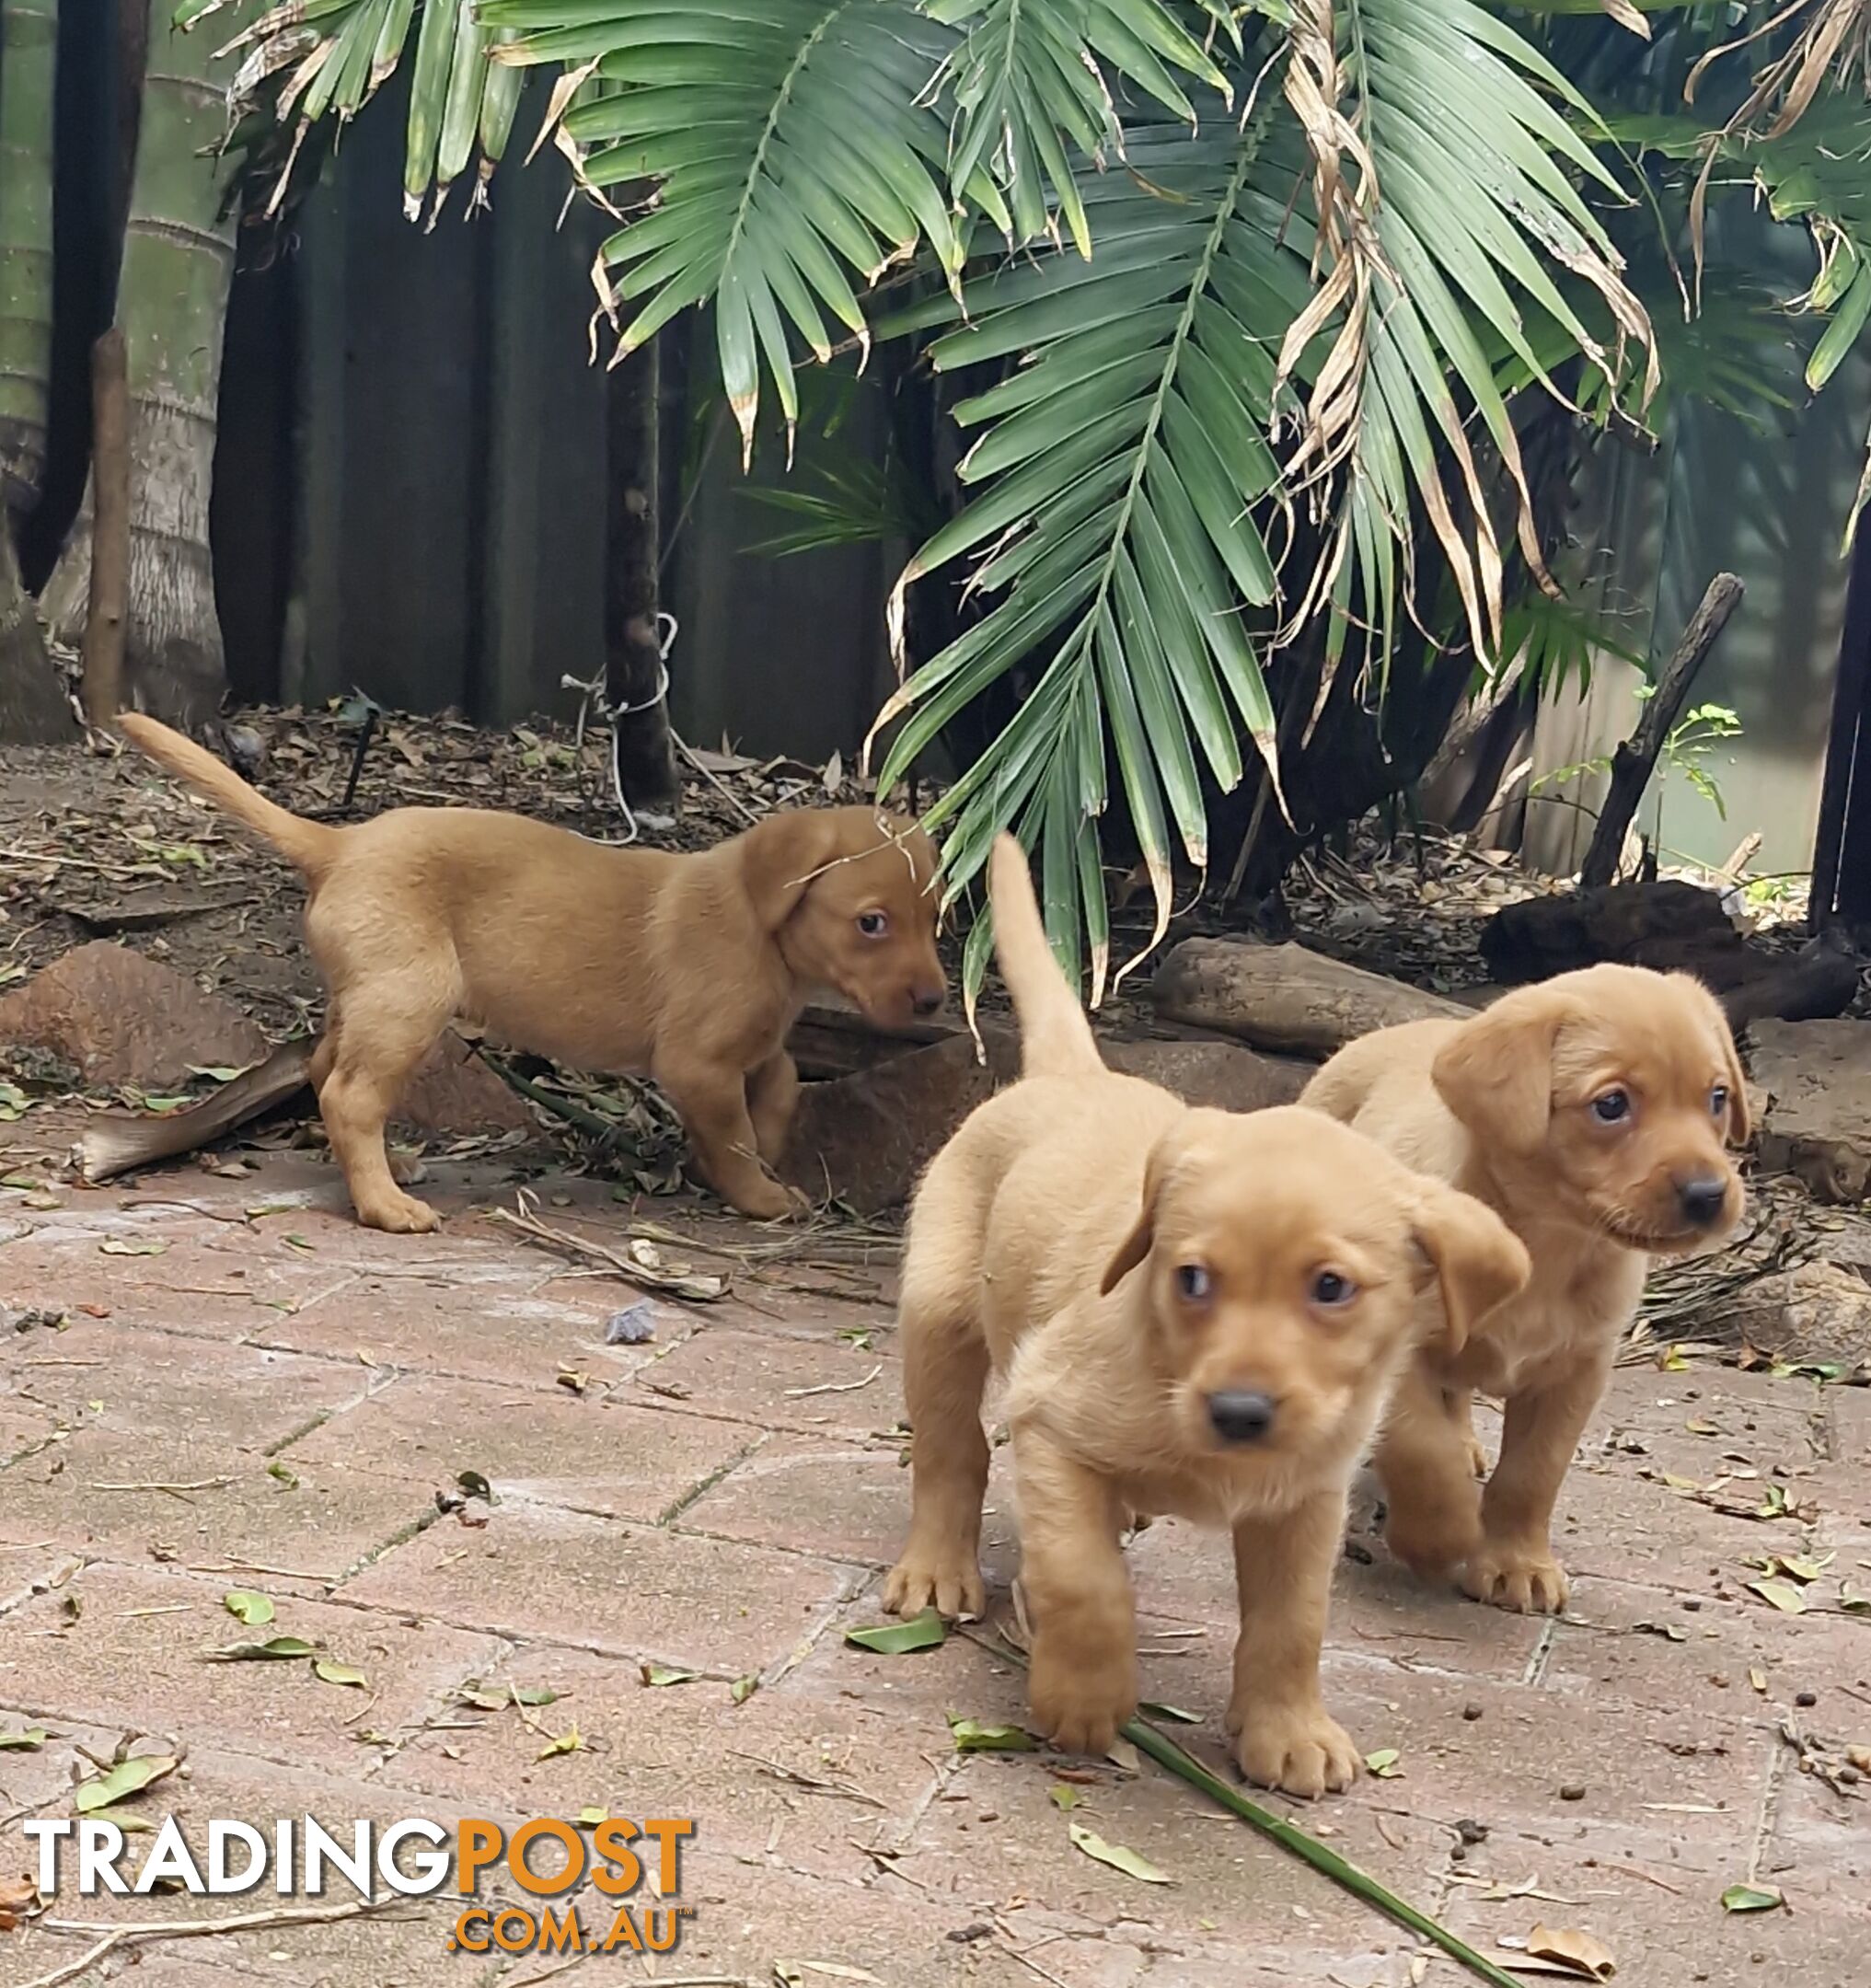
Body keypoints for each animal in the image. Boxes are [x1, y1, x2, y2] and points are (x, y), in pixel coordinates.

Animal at [113, 715, 950, 1232]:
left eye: (935, 918)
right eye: (871, 923)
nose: (936, 999)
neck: (758, 923)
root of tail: (339, 843)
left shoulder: (749, 1048)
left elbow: (777, 1086)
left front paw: (759, 1154)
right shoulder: (695, 1063)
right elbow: (737, 1134)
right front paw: (758, 1192)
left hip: (367, 995)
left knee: (325, 1071)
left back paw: (391, 1167)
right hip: (409, 1000)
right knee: (349, 1095)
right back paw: (384, 1204)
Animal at [883, 830, 1527, 1797]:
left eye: (1330, 1288)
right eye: (1190, 1278)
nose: (1240, 1412)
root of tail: (1076, 1075)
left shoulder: (1305, 1499)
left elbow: (1293, 1623)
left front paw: (1289, 1732)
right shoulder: (1049, 1420)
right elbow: (1082, 1578)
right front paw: (1084, 1700)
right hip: (940, 1308)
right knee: (951, 1452)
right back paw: (935, 1572)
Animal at [1304, 965, 1741, 1613]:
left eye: (1717, 1098)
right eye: (1612, 1104)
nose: (1710, 1194)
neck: (1546, 1246)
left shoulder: (1576, 1371)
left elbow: (1532, 1474)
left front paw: (1517, 1563)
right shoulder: (1397, 1347)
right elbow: (1418, 1444)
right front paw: (1440, 1535)